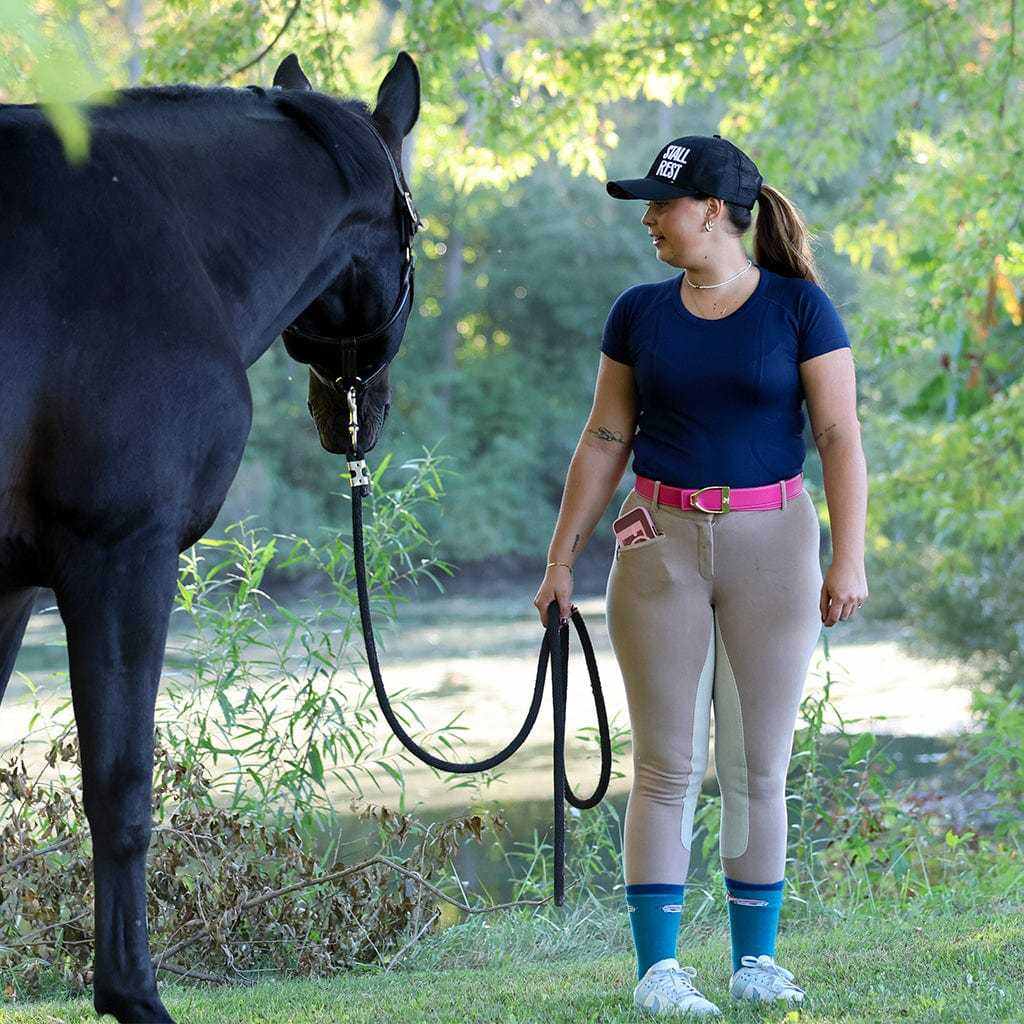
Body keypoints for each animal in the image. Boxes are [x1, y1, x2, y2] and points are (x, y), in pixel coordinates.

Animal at [0, 50, 420, 1023]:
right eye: (416, 235)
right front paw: (131, 992)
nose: (354, 420)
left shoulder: (4, 589)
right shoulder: (123, 558)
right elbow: (120, 788)